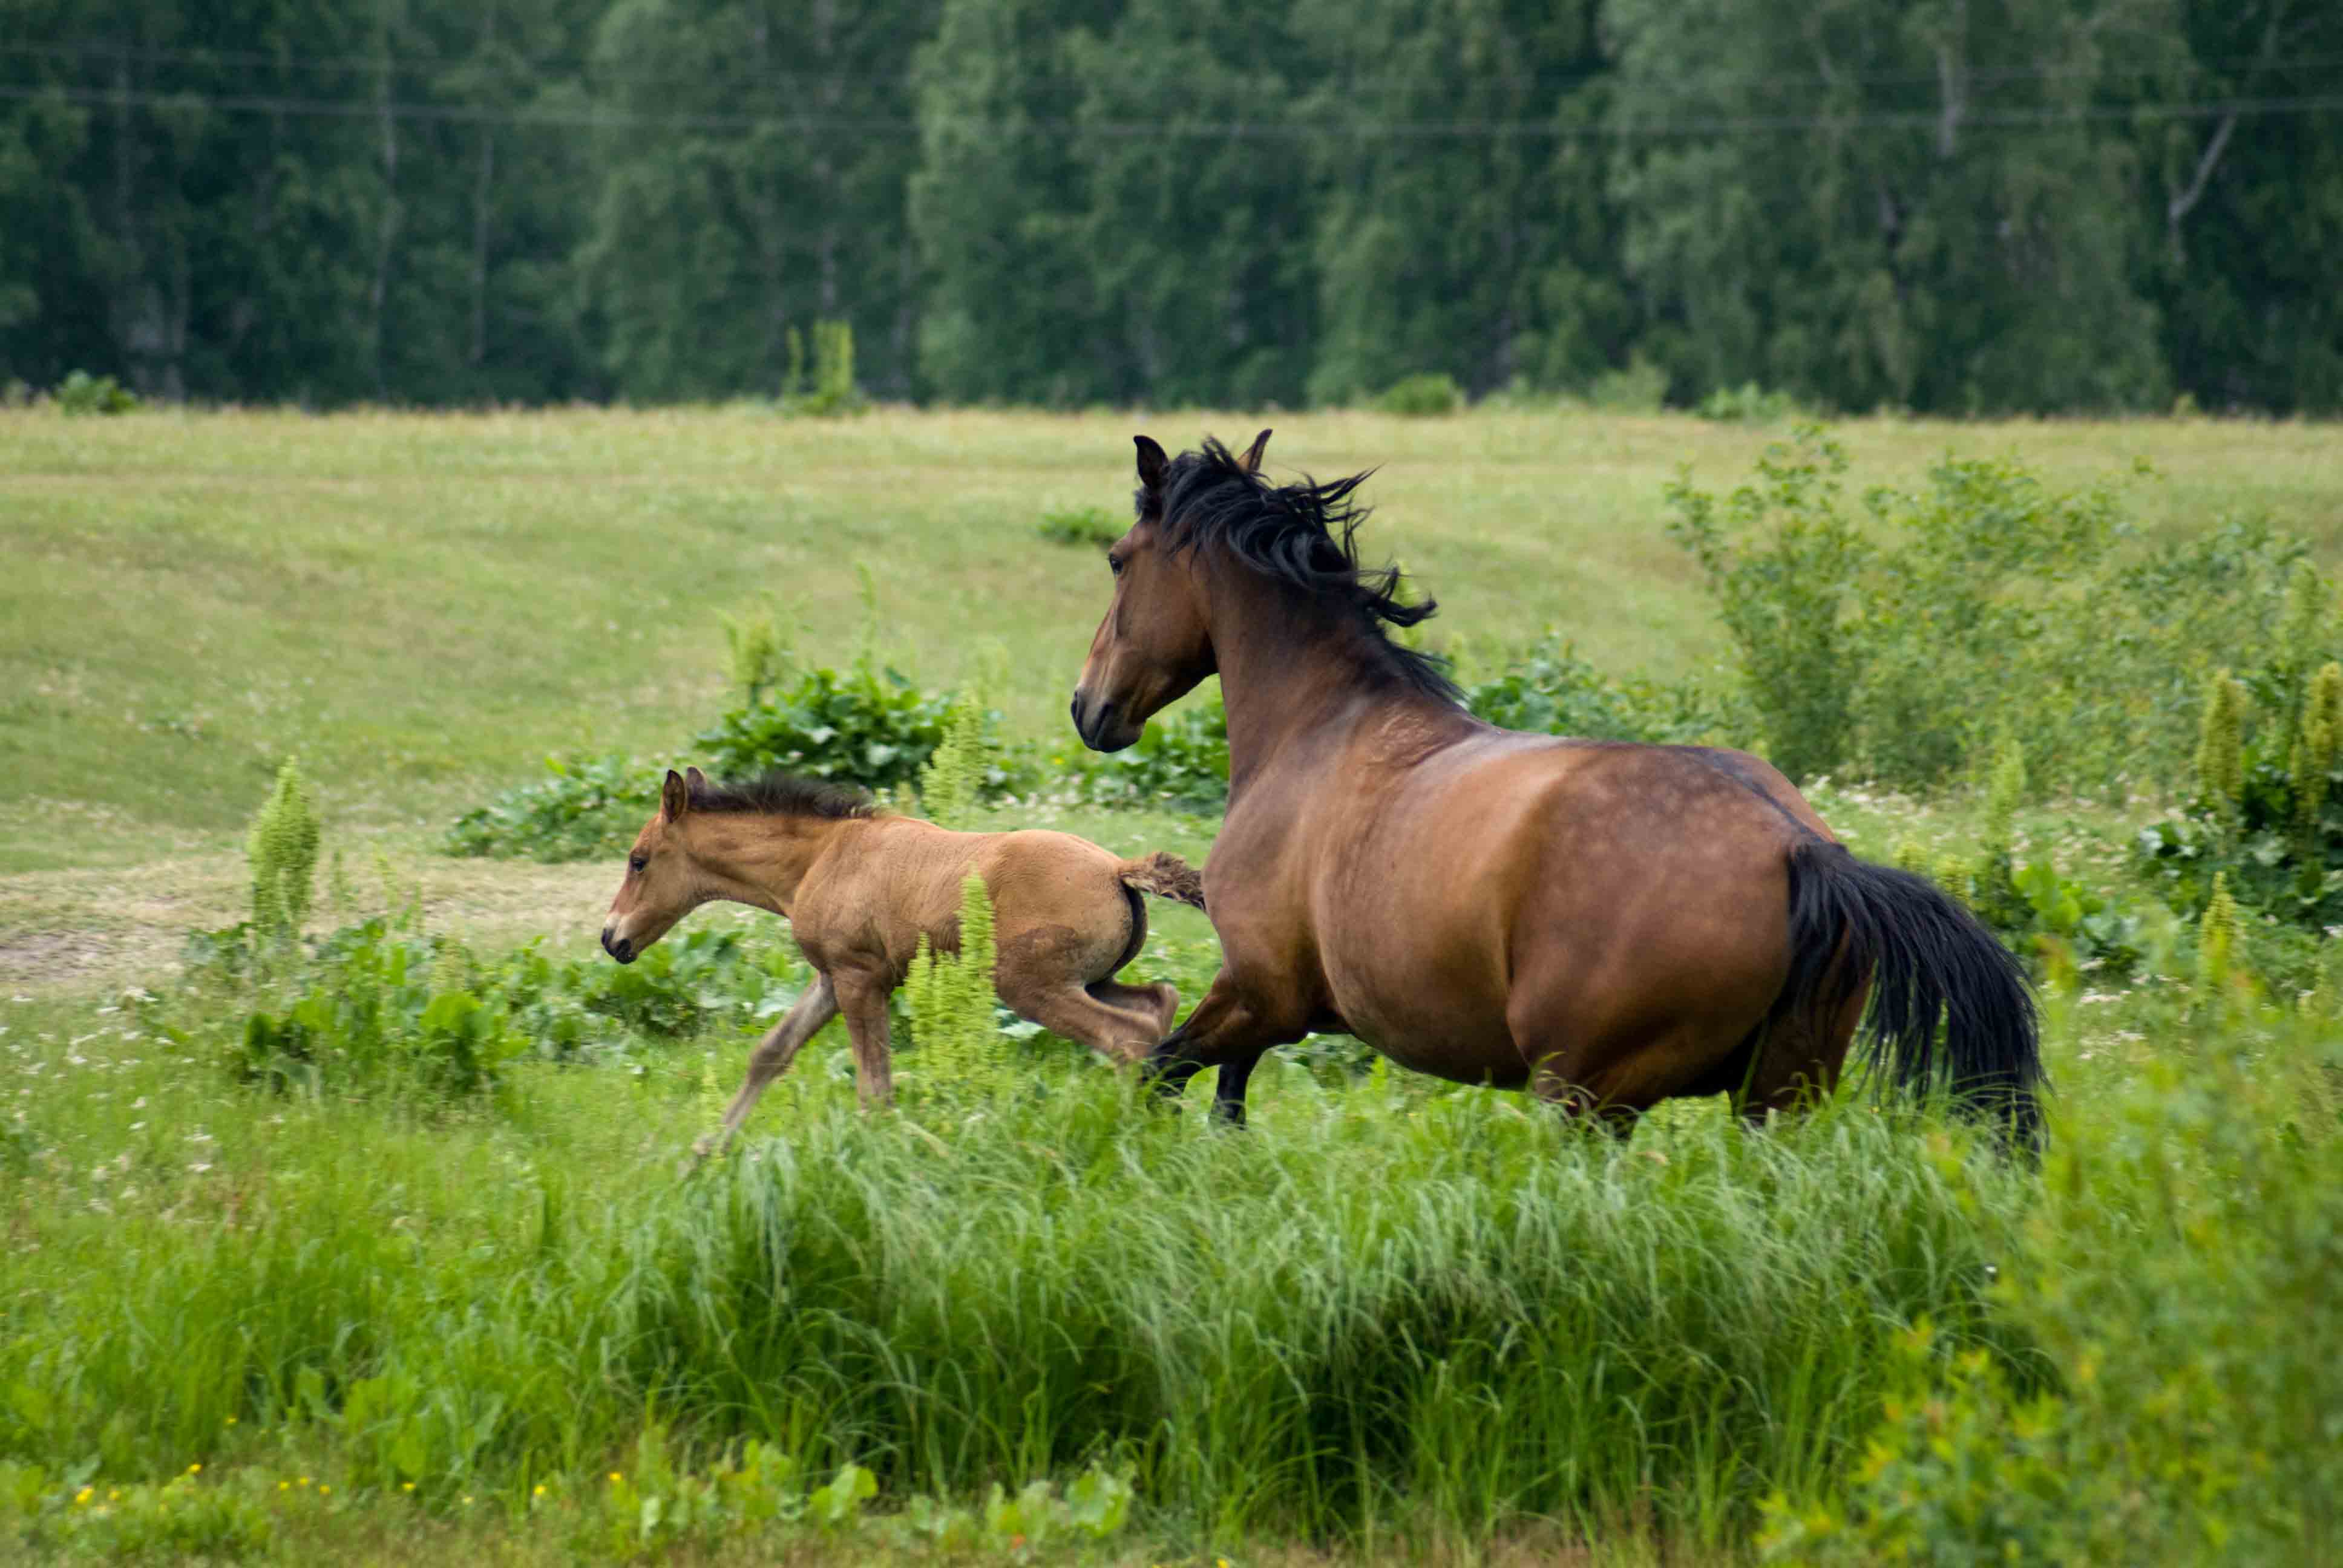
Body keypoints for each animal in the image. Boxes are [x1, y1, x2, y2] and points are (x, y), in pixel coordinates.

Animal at [604, 764, 1199, 1157]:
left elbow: (875, 1090)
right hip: (1095, 980)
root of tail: (1118, 869)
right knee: (1160, 1005)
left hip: (1033, 988)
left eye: (638, 861)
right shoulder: (831, 979)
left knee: (1126, 1038)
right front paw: (706, 1152)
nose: (612, 939)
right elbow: (771, 1053)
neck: (820, 858)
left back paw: (1132, 1139)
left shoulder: (860, 979)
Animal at [1073, 433, 2043, 1143]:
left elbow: (1163, 1072)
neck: (1318, 727)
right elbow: (1222, 1098)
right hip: (1779, 1099)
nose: (1090, 708)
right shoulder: (1273, 1011)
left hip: (1587, 1100)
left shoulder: (1261, 993)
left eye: (1119, 560)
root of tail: (1798, 849)